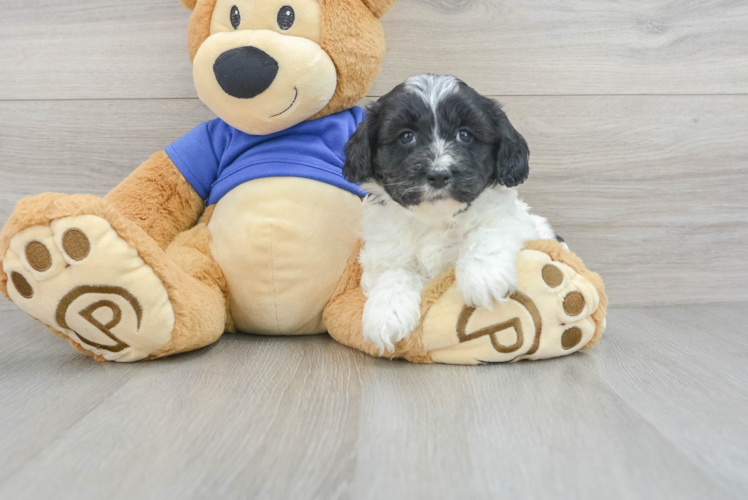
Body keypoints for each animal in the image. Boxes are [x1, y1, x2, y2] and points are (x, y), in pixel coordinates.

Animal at [342, 75, 560, 356]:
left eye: (464, 134)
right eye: (406, 136)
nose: (438, 174)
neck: (436, 219)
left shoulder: (514, 221)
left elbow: (486, 231)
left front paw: (483, 276)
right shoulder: (383, 250)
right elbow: (394, 270)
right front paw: (386, 313)